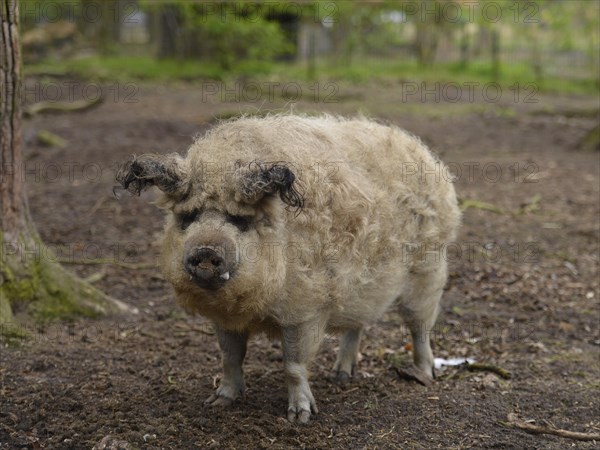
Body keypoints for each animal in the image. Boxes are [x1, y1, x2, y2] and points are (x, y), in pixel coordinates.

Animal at [119, 114, 462, 424]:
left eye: (240, 221)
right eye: (187, 217)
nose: (206, 250)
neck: (251, 305)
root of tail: (422, 152)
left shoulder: (305, 310)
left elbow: (293, 365)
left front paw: (300, 417)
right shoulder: (224, 318)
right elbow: (230, 357)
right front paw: (218, 403)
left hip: (429, 268)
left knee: (420, 326)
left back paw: (423, 375)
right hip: (362, 289)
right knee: (357, 324)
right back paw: (341, 376)